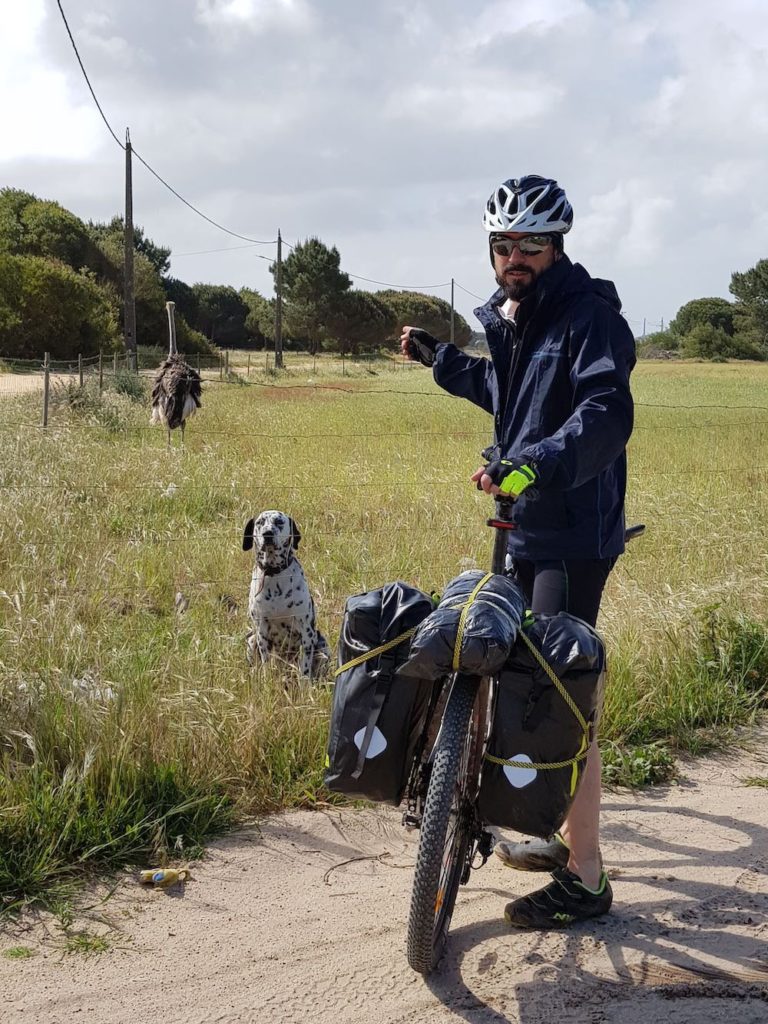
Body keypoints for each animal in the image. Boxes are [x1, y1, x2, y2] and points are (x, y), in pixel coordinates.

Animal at [243, 507, 331, 675]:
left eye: (279, 521)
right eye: (260, 522)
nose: (268, 533)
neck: (274, 574)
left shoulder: (306, 631)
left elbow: (305, 668)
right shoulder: (261, 629)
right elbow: (266, 661)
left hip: (322, 644)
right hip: (252, 639)